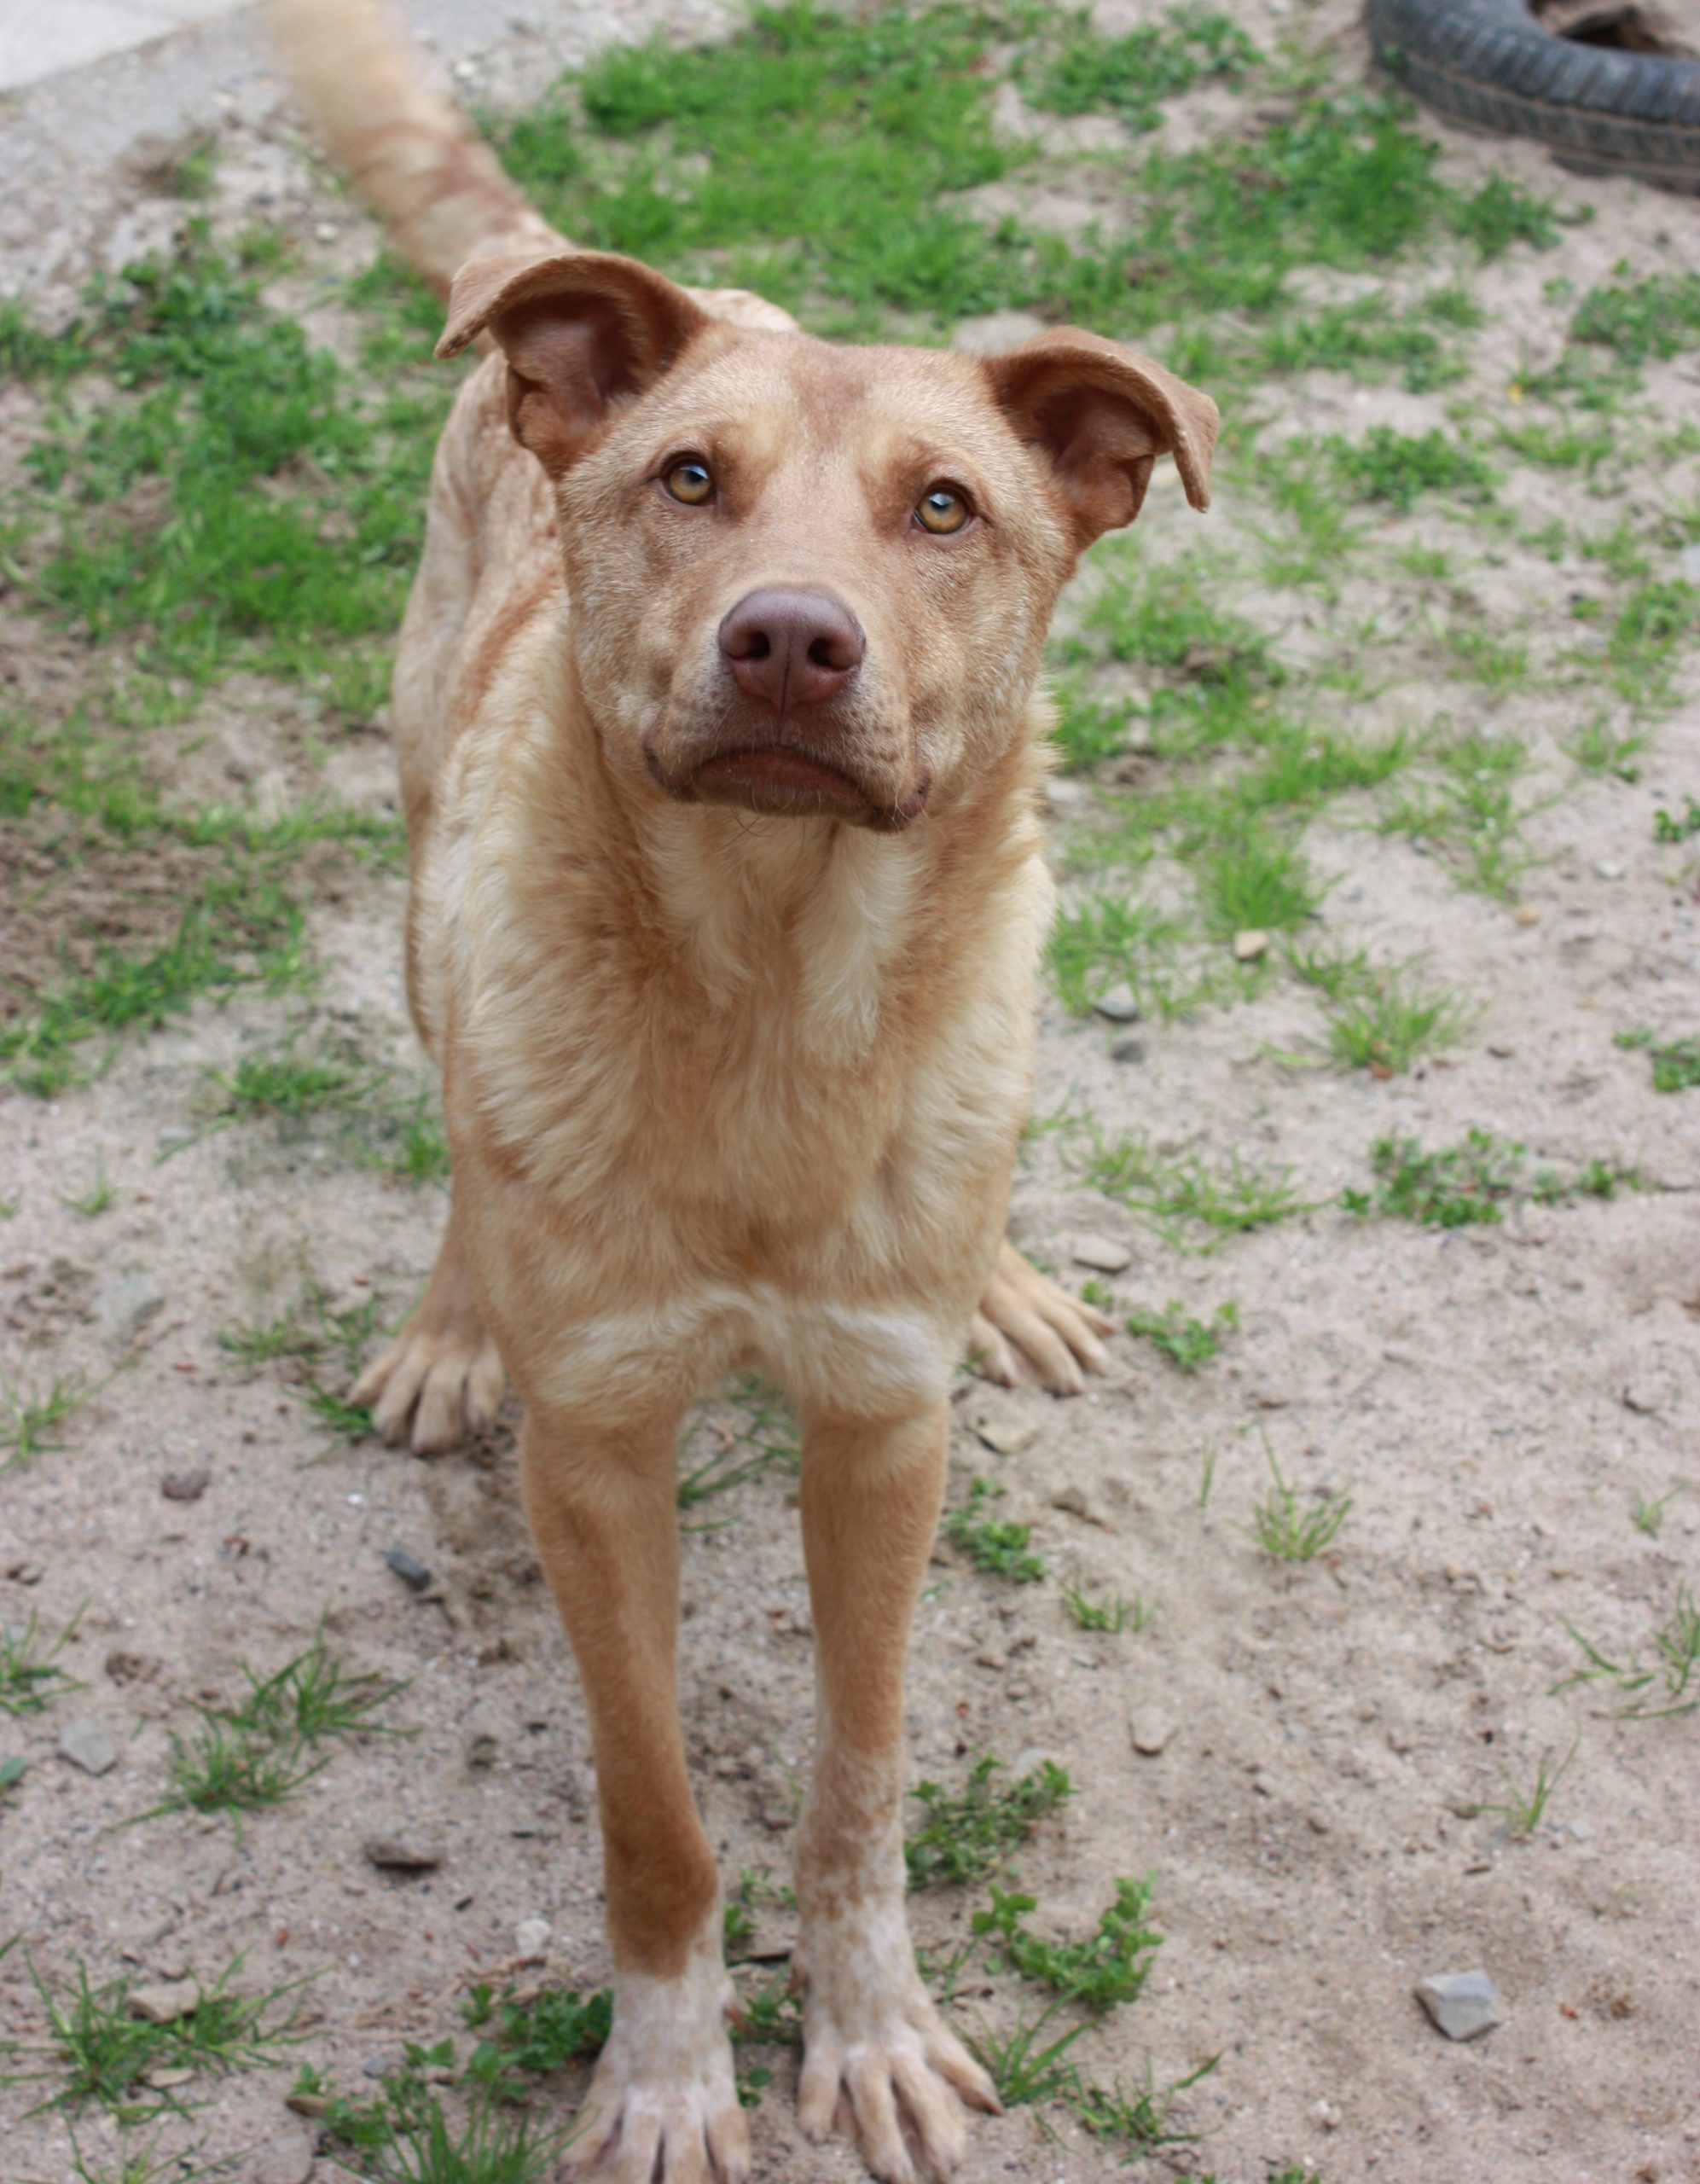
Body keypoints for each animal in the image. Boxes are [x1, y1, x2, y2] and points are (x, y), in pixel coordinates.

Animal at [271, 4, 1216, 2176]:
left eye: (944, 509)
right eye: (690, 479)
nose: (789, 640)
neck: (774, 999)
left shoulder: (879, 1429)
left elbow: (858, 1778)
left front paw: (866, 2029)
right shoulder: (596, 1452)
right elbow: (657, 1815)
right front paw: (668, 2065)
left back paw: (1007, 1277)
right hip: (425, 844)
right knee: (456, 1104)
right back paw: (449, 1319)